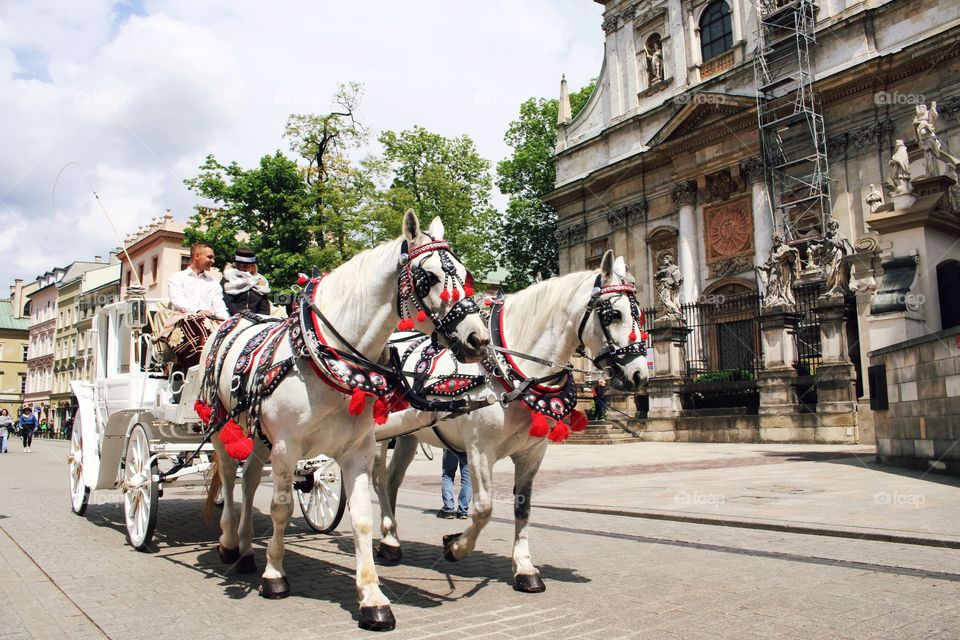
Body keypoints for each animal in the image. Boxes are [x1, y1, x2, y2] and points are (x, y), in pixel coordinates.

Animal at [201, 211, 488, 632]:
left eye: (467, 275)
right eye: (429, 277)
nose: (477, 339)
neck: (329, 357)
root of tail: (234, 321)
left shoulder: (357, 453)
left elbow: (363, 519)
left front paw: (373, 598)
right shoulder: (287, 448)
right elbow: (282, 507)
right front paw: (275, 575)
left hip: (259, 437)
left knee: (250, 479)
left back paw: (247, 549)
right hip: (225, 428)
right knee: (228, 474)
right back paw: (227, 542)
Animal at [372, 252, 648, 592]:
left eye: (640, 314)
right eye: (613, 314)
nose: (639, 374)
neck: (512, 373)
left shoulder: (532, 454)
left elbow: (522, 507)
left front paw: (525, 568)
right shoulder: (479, 451)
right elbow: (483, 508)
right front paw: (455, 546)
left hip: (410, 435)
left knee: (393, 480)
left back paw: (391, 537)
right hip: (377, 432)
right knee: (378, 479)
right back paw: (388, 540)